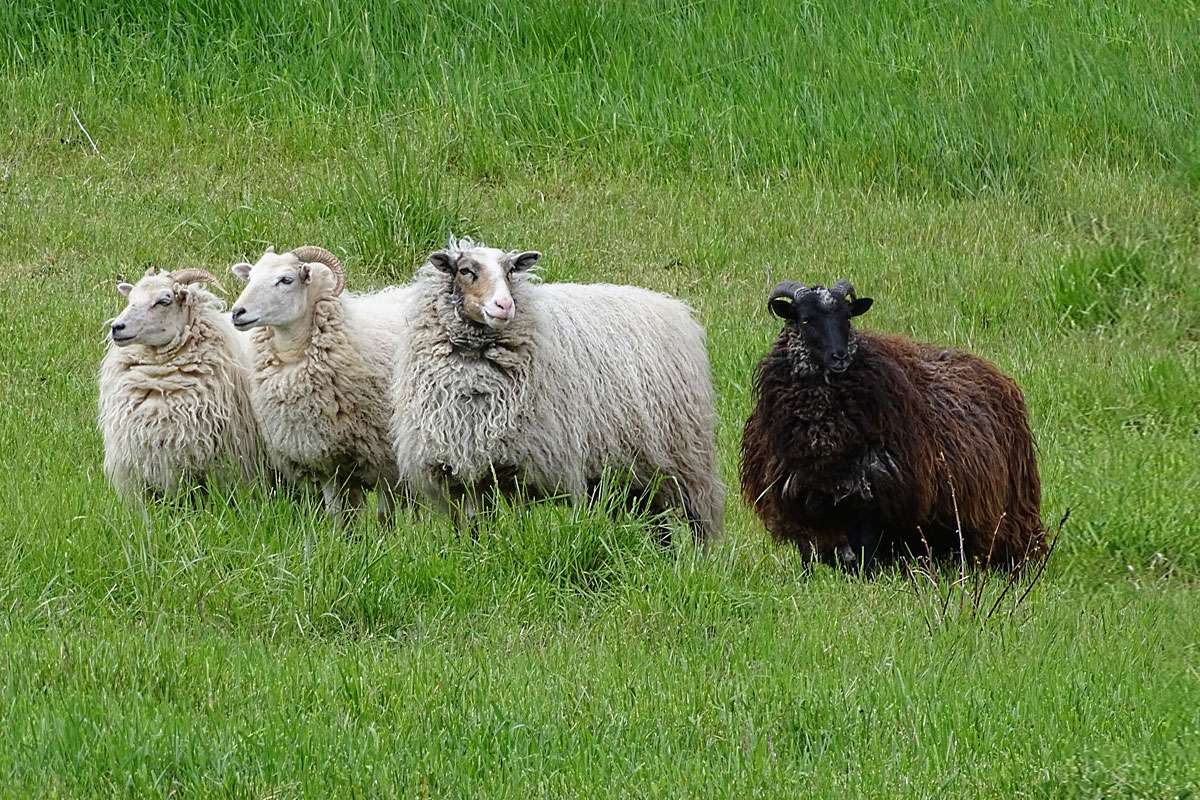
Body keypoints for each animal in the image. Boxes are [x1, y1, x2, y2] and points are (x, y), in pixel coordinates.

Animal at [388, 231, 720, 544]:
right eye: (466, 271)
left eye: (510, 271)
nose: (504, 305)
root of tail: (674, 308)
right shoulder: (458, 474)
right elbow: (470, 529)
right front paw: (473, 554)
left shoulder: (518, 467)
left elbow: (513, 524)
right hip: (633, 469)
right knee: (656, 522)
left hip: (687, 459)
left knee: (698, 521)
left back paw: (699, 560)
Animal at [734, 281, 1046, 568]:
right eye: (805, 319)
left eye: (847, 317)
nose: (839, 356)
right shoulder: (799, 498)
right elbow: (808, 559)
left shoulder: (874, 496)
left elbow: (865, 560)